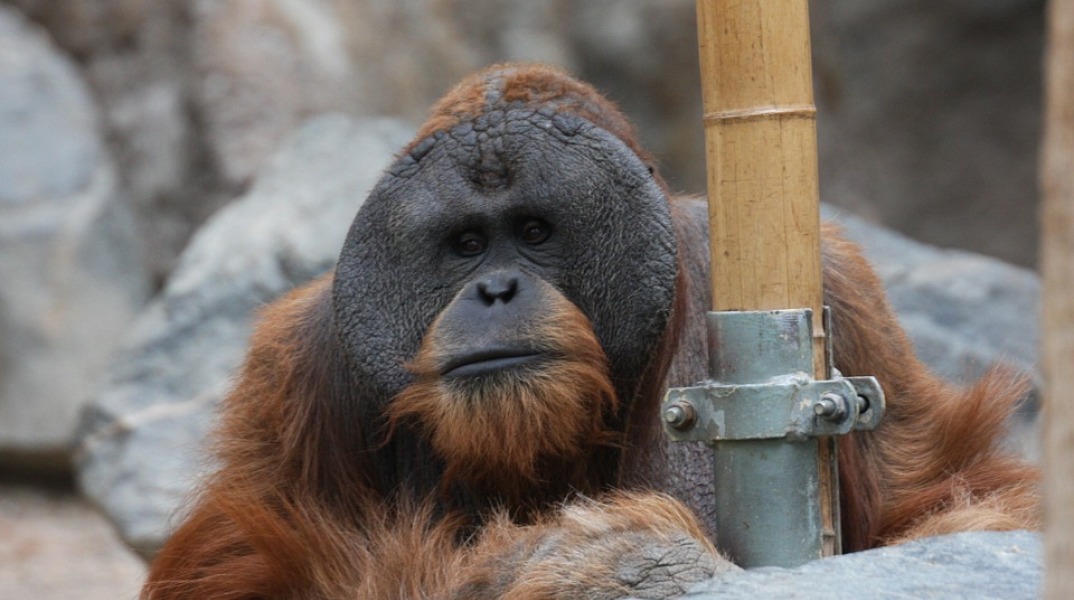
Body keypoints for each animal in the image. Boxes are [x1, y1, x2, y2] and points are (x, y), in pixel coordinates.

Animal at [142, 64, 1039, 599]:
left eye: (536, 232)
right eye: (466, 244)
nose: (495, 289)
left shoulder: (838, 291)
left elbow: (959, 503)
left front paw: (629, 561)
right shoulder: (290, 364)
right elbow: (235, 565)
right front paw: (604, 563)